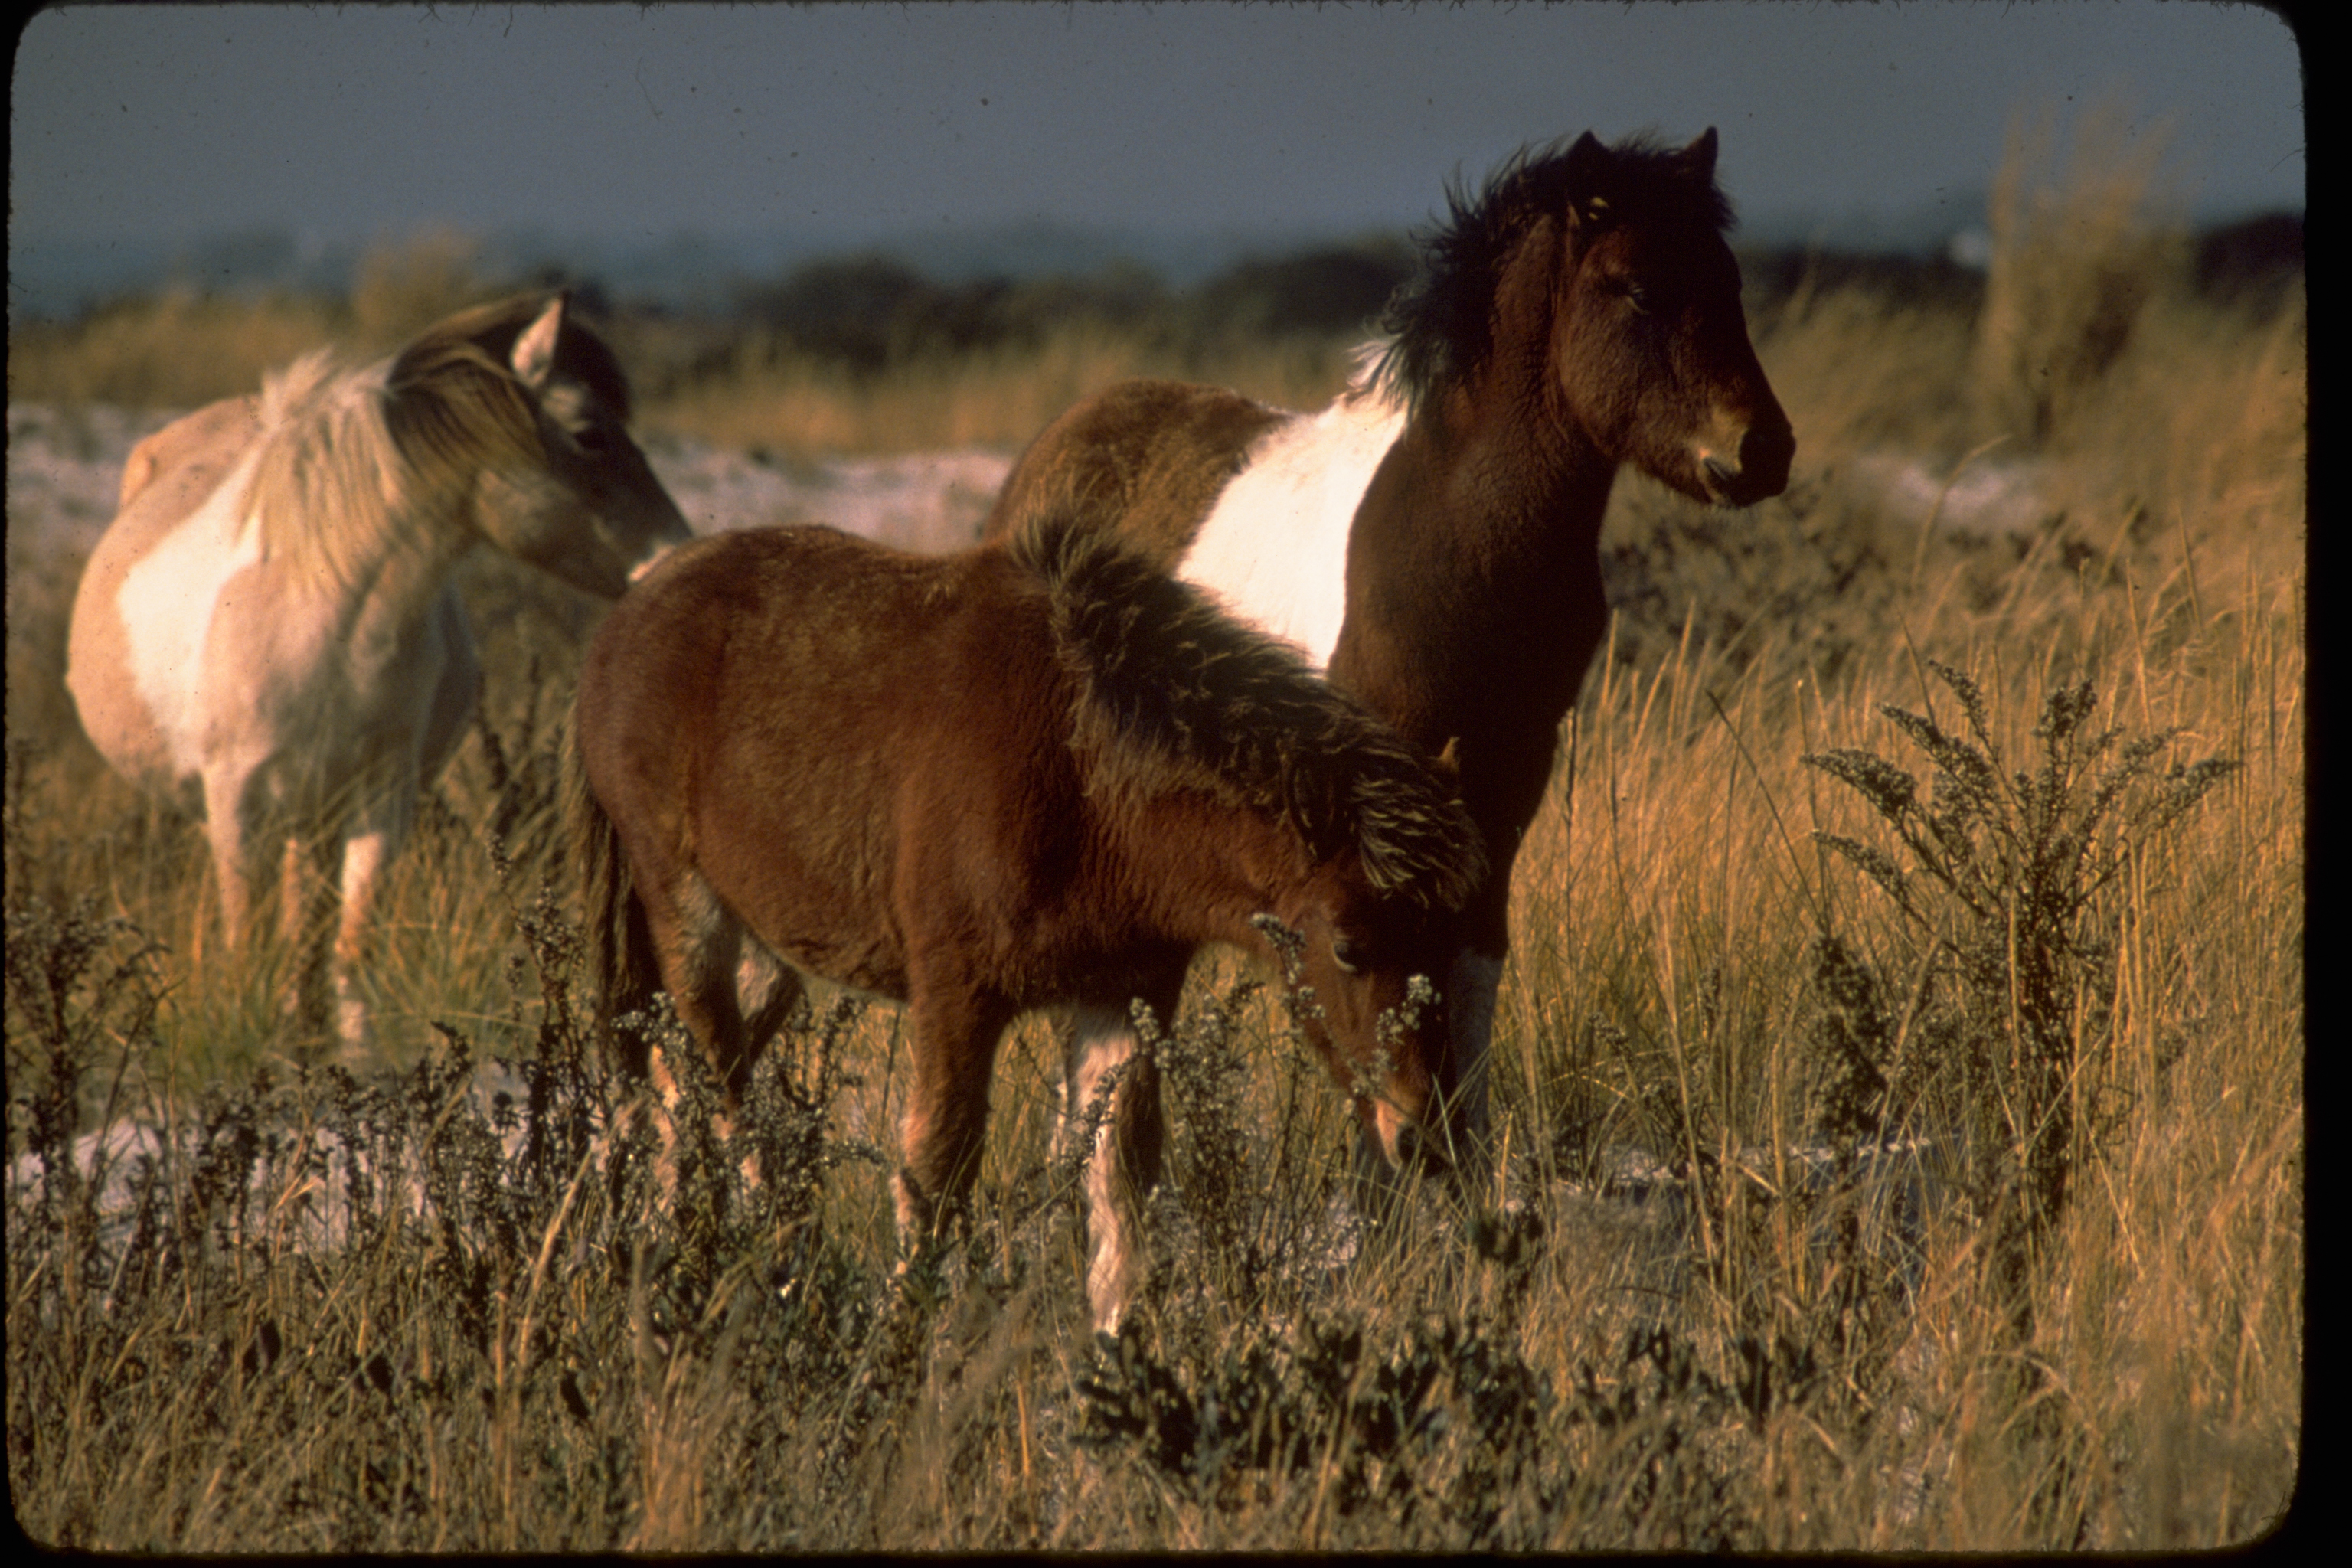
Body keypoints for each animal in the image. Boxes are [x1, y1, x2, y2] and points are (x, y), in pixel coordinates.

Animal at [64, 293, 687, 1053]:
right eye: (590, 434)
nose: (672, 557)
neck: (318, 613)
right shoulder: (237, 806)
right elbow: (247, 945)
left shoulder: (379, 801)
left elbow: (350, 946)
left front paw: (356, 1060)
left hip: (313, 819)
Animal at [571, 517, 1477, 1335]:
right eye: (1349, 945)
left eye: (1450, 936)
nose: (1423, 1138)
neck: (1085, 784)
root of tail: (623, 618)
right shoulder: (957, 995)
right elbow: (934, 1174)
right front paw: (903, 1345)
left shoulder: (1125, 994)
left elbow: (1119, 1188)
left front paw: (1122, 1362)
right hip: (685, 907)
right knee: (722, 1089)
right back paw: (771, 1265)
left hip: (766, 953)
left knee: (676, 1081)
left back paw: (667, 1255)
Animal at [983, 131, 1787, 1175]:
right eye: (1640, 290)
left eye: (1730, 281)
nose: (1763, 451)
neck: (1454, 538)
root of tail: (1041, 465)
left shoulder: (1507, 772)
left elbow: (1473, 948)